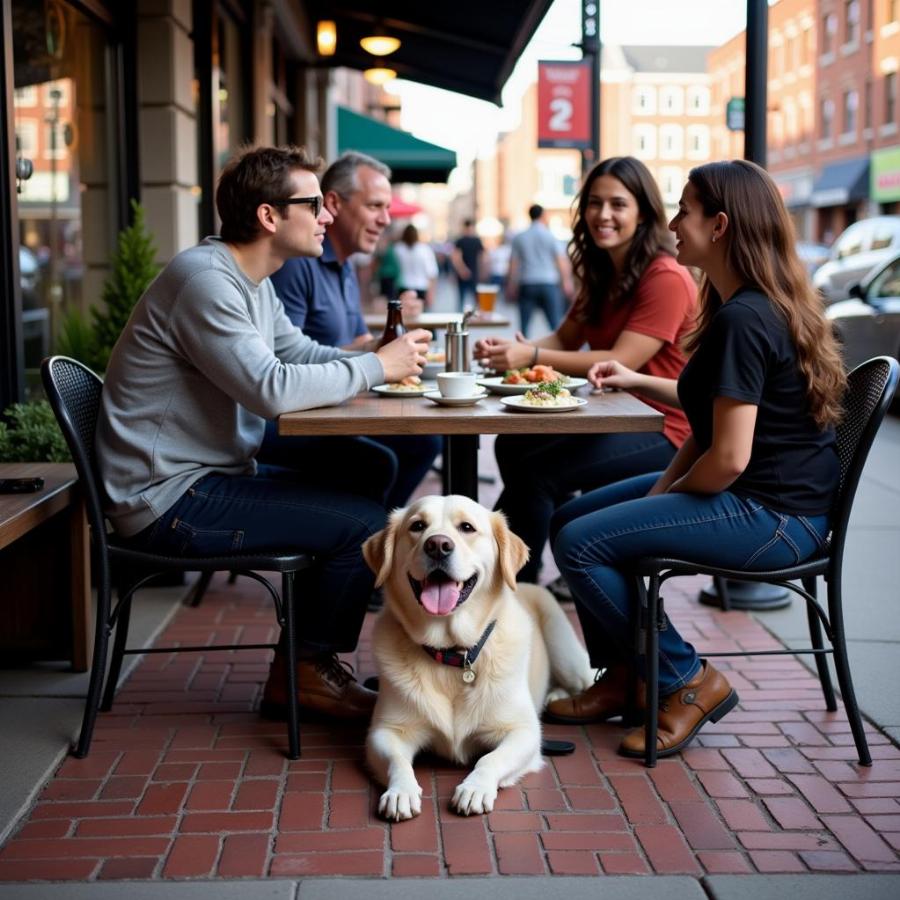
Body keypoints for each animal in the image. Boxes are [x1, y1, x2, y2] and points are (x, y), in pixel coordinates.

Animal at [362, 496, 596, 820]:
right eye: (417, 526)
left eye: (467, 528)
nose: (437, 545)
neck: (452, 653)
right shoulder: (385, 732)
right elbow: (398, 762)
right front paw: (401, 792)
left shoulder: (524, 732)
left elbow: (490, 759)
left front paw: (474, 788)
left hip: (566, 654)